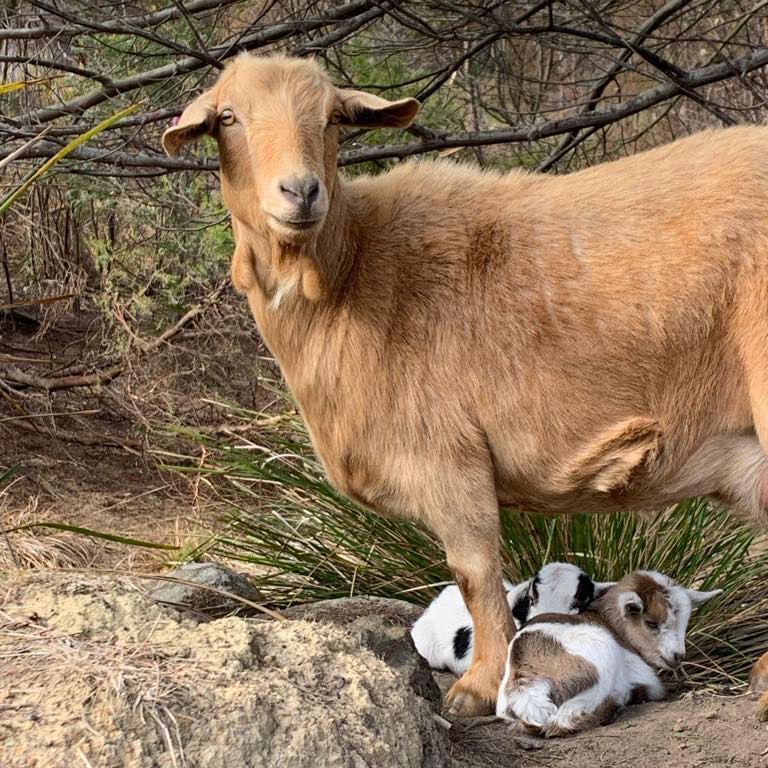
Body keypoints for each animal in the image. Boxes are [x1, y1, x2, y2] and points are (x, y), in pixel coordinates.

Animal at [496, 571, 721, 736]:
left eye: (684, 622)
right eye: (651, 623)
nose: (677, 656)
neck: (609, 623)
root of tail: (527, 680)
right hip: (599, 660)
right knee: (565, 719)